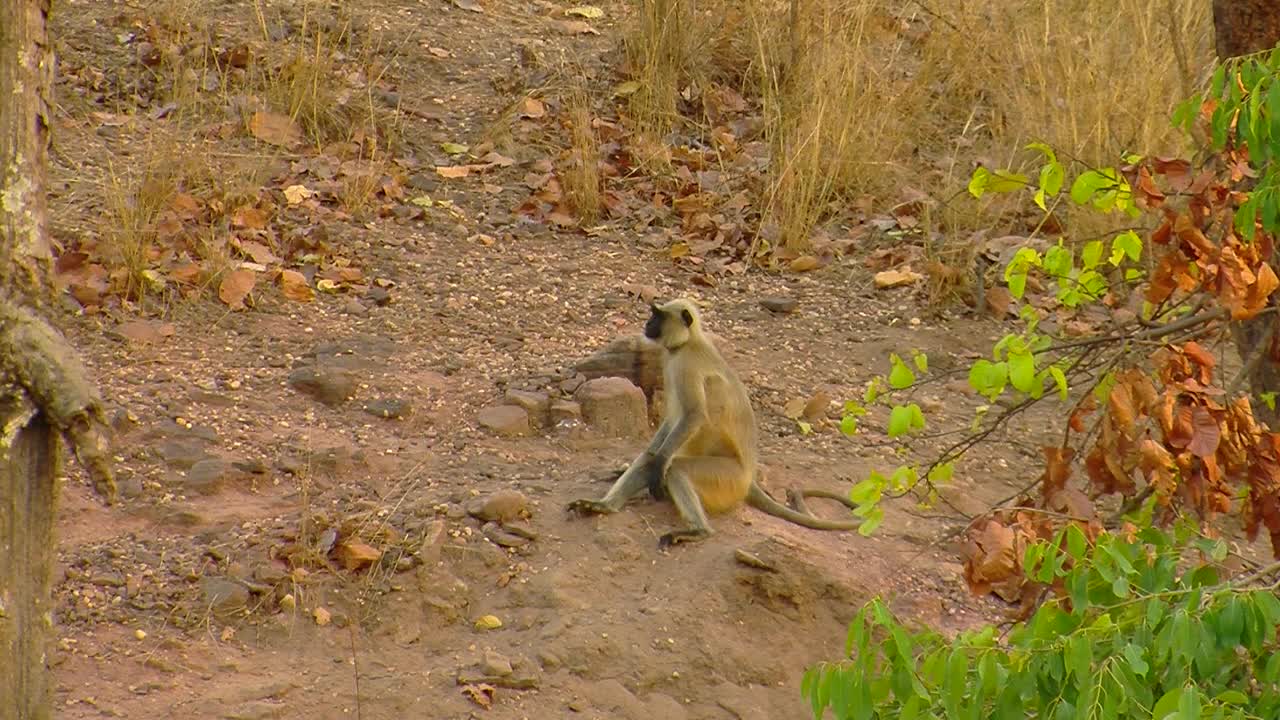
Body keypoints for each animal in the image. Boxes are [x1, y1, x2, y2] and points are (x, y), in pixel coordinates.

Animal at [568, 297, 860, 543]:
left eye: (657, 316)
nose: (647, 324)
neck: (688, 342)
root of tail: (748, 477)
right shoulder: (671, 362)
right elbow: (667, 430)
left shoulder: (685, 365)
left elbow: (693, 415)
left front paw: (658, 466)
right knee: (653, 458)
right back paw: (605, 506)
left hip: (726, 478)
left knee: (675, 468)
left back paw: (698, 530)